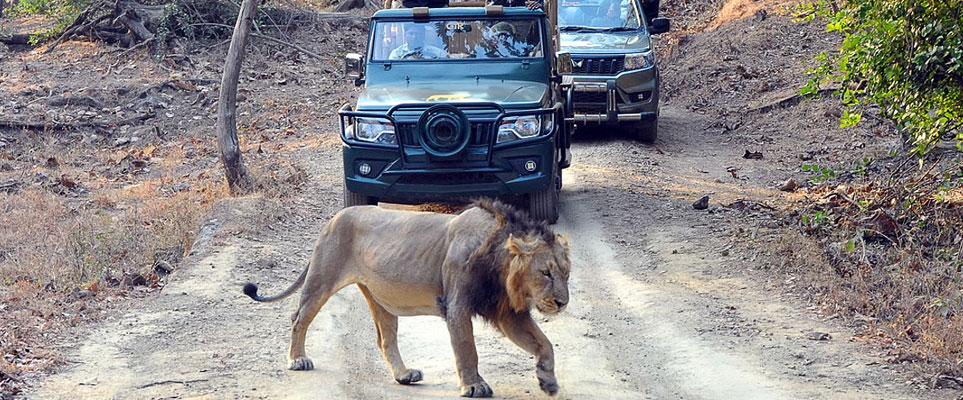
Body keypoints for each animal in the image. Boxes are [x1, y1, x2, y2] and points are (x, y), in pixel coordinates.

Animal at [243, 200, 571, 397]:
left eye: (566, 273)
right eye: (545, 273)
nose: (562, 303)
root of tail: (334, 217)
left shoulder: (507, 313)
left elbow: (544, 343)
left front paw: (548, 380)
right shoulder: (456, 306)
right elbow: (467, 350)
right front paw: (474, 386)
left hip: (379, 298)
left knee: (385, 340)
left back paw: (403, 375)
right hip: (321, 279)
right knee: (298, 317)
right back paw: (297, 359)